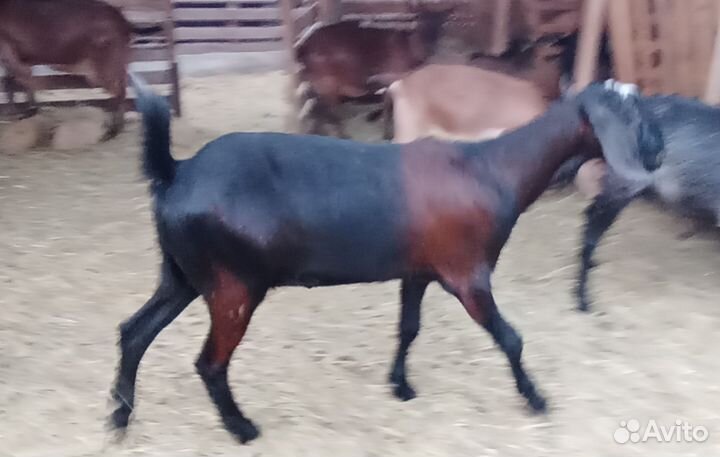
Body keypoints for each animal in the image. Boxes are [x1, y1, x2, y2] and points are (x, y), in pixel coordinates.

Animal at [0, 0, 131, 138]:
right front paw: (28, 112)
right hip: (115, 64)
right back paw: (117, 129)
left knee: (118, 92)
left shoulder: (8, 52)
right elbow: (15, 83)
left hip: (106, 64)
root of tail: (121, 19)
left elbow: (15, 82)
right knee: (121, 90)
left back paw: (112, 131)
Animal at [109, 75, 632, 443]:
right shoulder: (467, 275)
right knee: (209, 363)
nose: (641, 168)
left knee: (133, 331)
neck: (492, 169)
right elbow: (511, 339)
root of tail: (176, 172)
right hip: (234, 285)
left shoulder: (420, 271)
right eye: (633, 116)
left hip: (184, 274)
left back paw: (119, 416)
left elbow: (408, 328)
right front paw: (536, 398)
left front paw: (400, 385)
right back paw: (241, 428)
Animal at [294, 4, 452, 138]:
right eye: (420, 21)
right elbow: (388, 104)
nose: (429, 47)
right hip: (327, 81)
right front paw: (388, 134)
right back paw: (341, 135)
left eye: (442, 24)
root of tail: (301, 49)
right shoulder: (391, 76)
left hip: (320, 82)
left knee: (319, 109)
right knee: (327, 110)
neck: (408, 49)